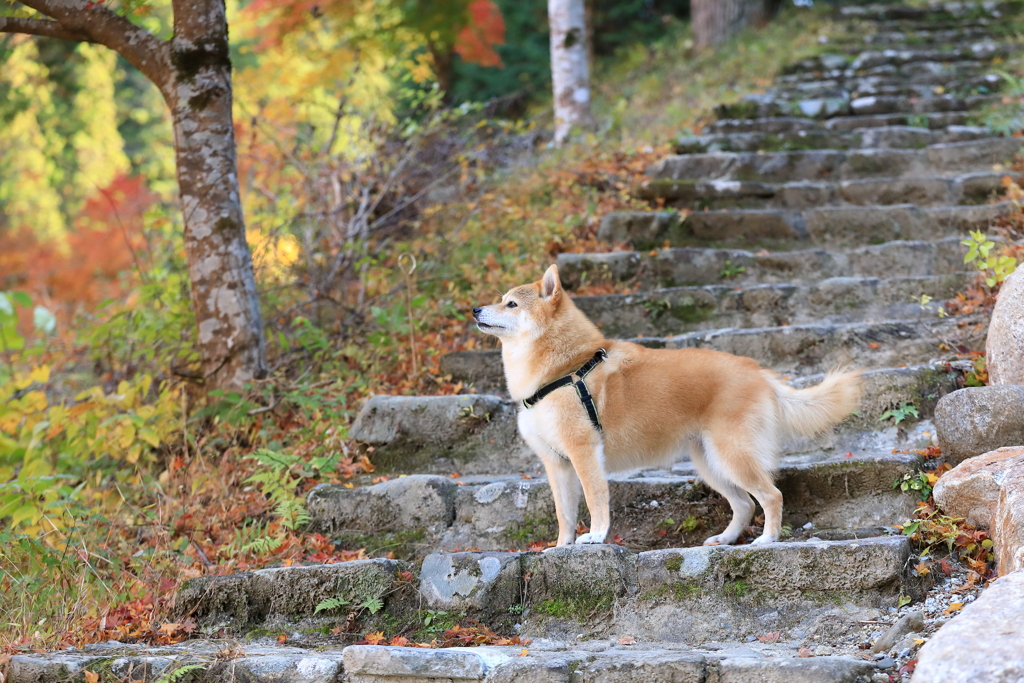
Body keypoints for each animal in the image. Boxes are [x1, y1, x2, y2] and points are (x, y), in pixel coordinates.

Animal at [475, 264, 860, 548]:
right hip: (710, 463)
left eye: (511, 304)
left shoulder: (584, 454)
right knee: (744, 503)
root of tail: (759, 372)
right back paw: (726, 539)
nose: (475, 309)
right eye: (503, 300)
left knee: (771, 495)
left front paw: (596, 536)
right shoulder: (557, 464)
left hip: (732, 455)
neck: (566, 368)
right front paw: (561, 547)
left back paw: (767, 539)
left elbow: (595, 500)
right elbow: (565, 514)